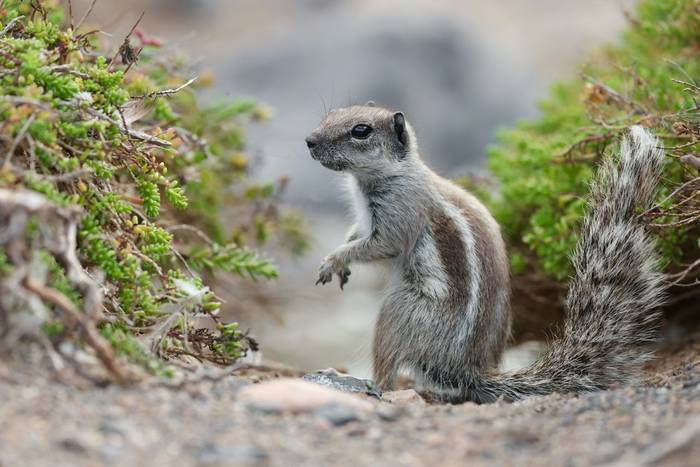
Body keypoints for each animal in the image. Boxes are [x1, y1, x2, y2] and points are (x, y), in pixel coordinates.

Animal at [305, 103, 666, 403]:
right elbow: (355, 235)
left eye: (361, 130)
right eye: (332, 112)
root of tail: (466, 371)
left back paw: (361, 383)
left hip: (399, 313)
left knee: (387, 371)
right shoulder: (364, 221)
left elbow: (379, 245)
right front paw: (337, 261)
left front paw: (334, 260)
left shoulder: (400, 213)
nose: (309, 140)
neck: (389, 174)